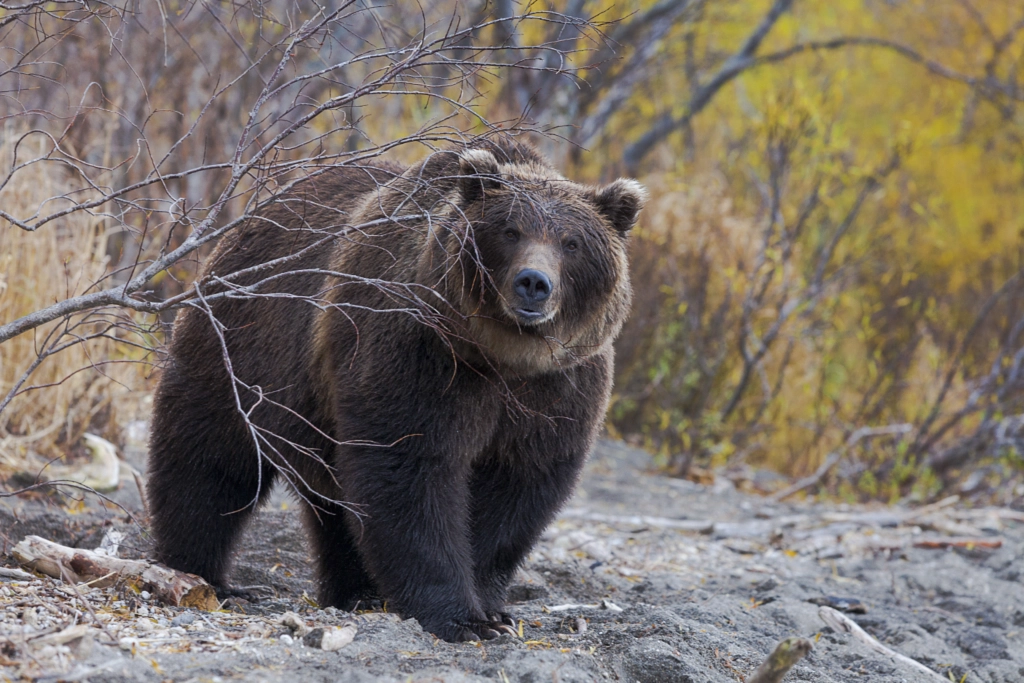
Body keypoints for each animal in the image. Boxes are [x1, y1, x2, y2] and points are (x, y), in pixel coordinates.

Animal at [148, 136, 643, 643]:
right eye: (510, 230)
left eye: (572, 242)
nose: (533, 283)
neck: (501, 356)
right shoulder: (419, 352)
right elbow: (410, 469)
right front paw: (460, 617)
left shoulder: (558, 388)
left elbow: (518, 485)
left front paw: (492, 610)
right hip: (243, 344)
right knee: (211, 457)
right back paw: (206, 576)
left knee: (334, 505)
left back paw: (355, 591)